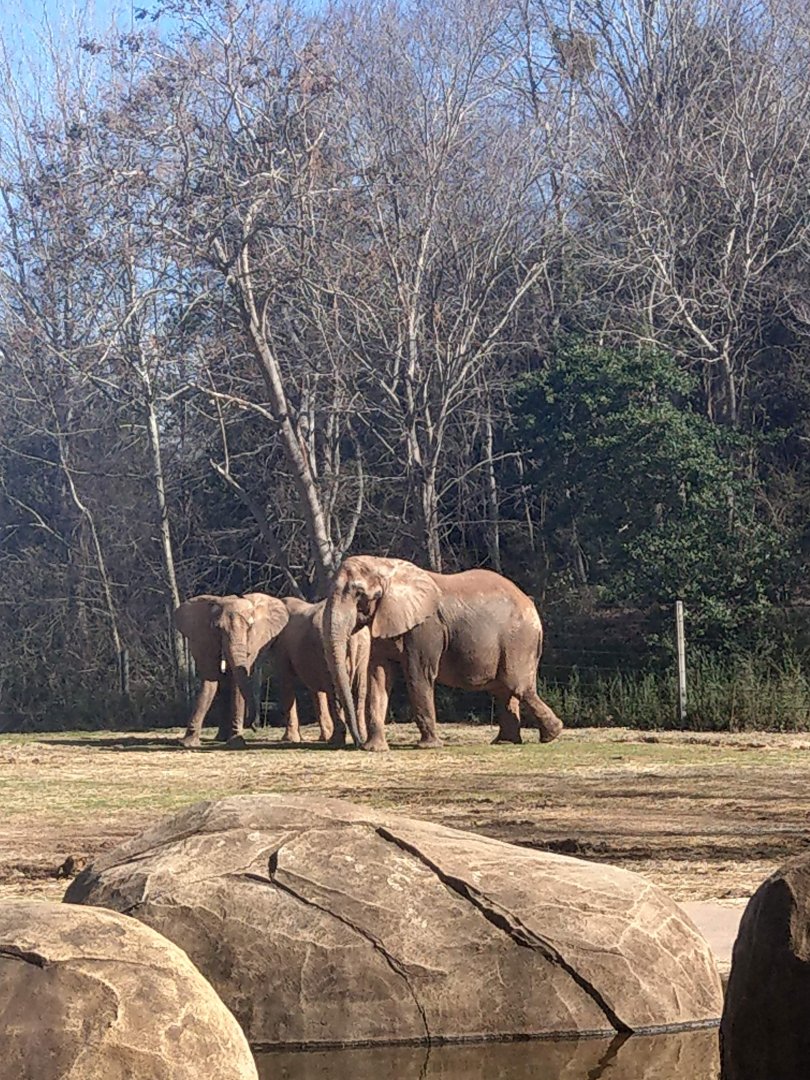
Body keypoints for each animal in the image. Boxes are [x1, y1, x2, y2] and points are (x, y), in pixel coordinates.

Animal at [173, 593, 289, 749]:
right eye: (217, 628)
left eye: (249, 627)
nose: (254, 727)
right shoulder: (204, 639)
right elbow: (210, 679)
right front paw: (187, 743)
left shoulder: (254, 641)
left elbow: (235, 682)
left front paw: (236, 742)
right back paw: (220, 738)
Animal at [274, 597, 370, 745]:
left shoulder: (282, 647)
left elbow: (286, 682)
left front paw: (289, 740)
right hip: (362, 649)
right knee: (359, 689)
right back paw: (361, 738)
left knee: (334, 690)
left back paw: (335, 741)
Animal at [323, 555, 564, 752]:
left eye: (359, 594)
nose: (356, 742)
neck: (384, 564)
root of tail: (531, 606)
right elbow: (379, 677)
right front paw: (374, 749)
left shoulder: (426, 628)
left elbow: (418, 675)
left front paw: (428, 746)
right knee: (503, 690)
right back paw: (505, 742)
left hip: (519, 640)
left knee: (517, 686)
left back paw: (551, 735)